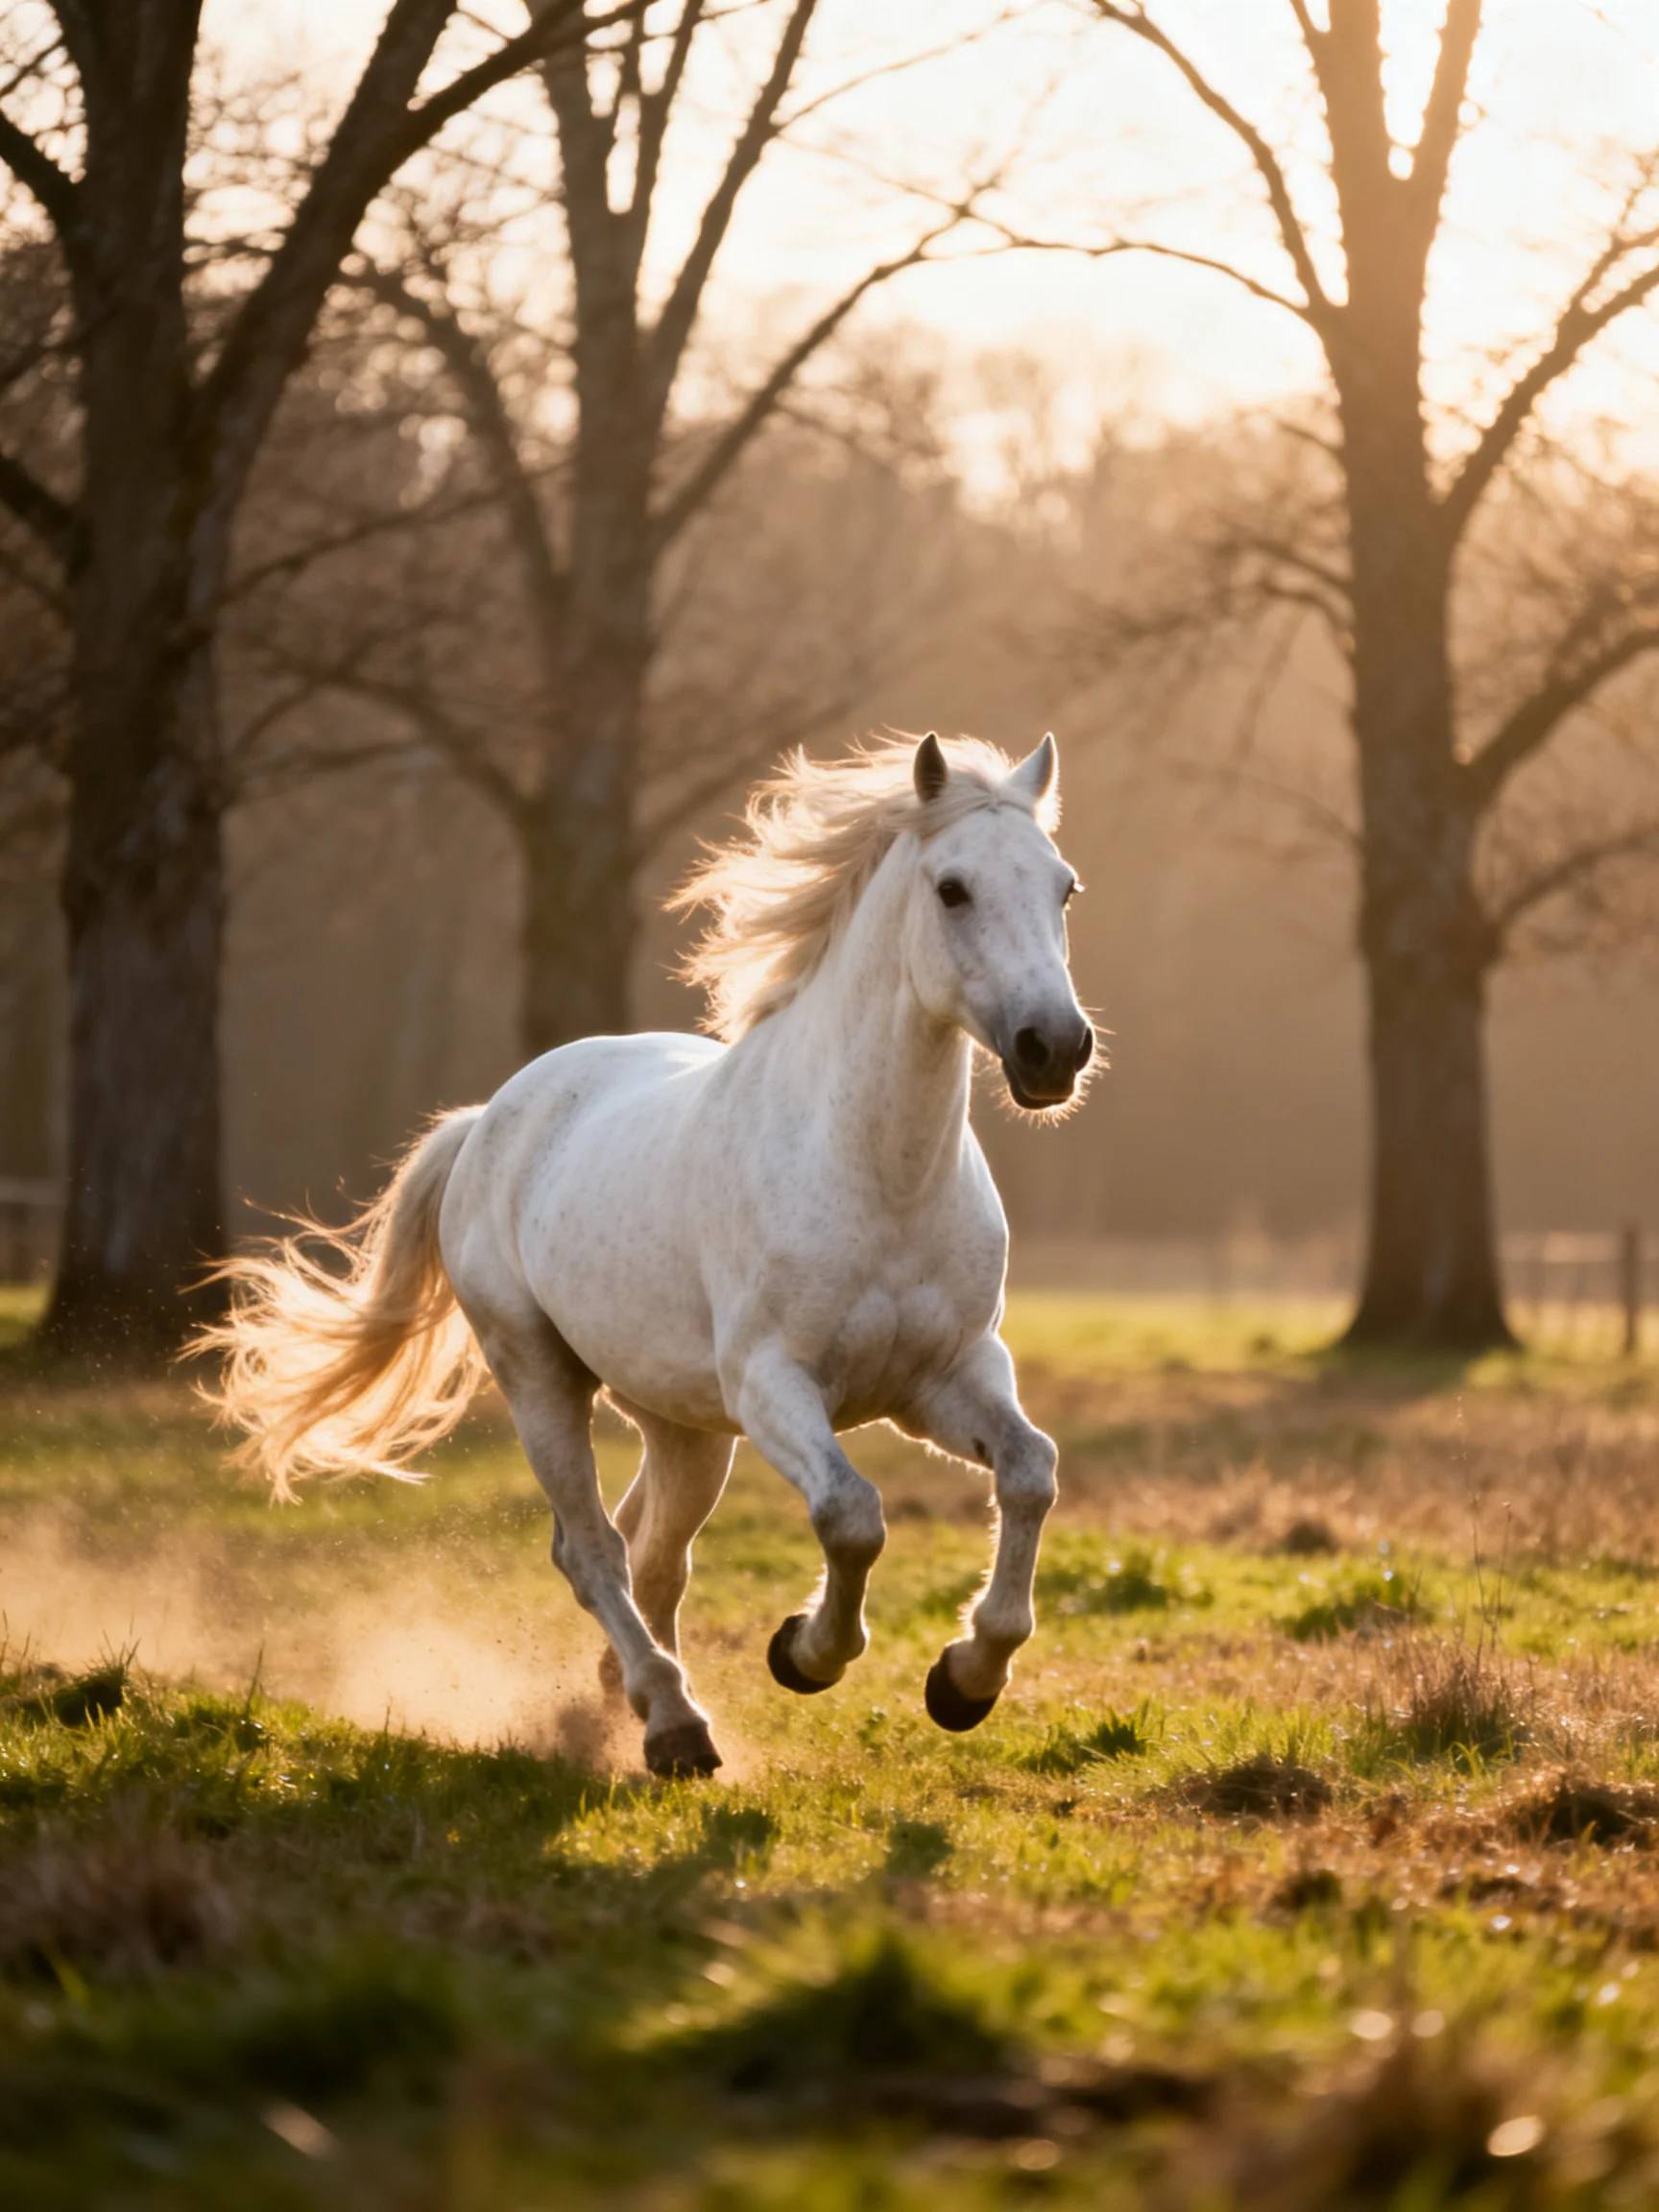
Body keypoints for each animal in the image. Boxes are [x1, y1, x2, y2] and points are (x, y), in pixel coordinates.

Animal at [200, 731, 1097, 1778]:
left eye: (1064, 887)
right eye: (953, 889)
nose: (1054, 1049)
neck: (880, 1174)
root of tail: (489, 1117)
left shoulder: (946, 1375)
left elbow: (1030, 1472)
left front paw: (965, 1679)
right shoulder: (774, 1384)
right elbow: (852, 1515)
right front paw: (805, 1654)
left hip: (686, 1427)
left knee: (651, 1551)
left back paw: (623, 1693)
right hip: (542, 1377)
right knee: (591, 1550)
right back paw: (673, 1724)